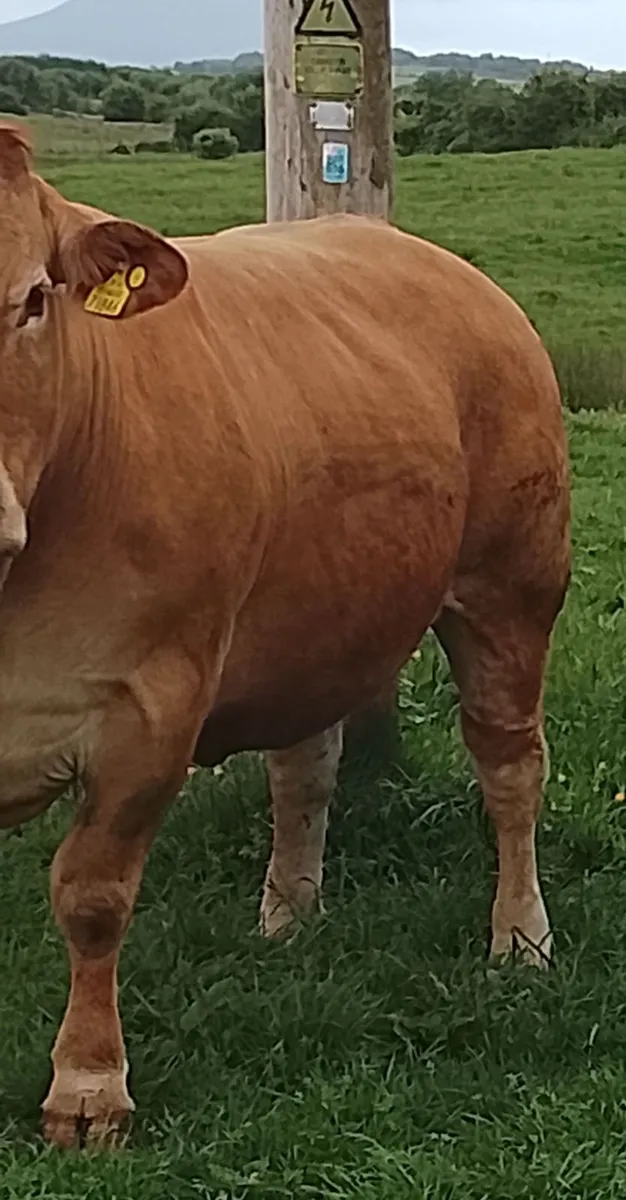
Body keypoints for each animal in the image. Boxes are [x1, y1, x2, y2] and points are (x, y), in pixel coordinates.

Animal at [0, 122, 571, 1148]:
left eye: (31, 299)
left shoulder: (152, 707)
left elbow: (92, 896)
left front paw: (88, 1089)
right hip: (317, 620)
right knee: (304, 767)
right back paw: (289, 912)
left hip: (513, 584)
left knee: (511, 767)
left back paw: (520, 935)